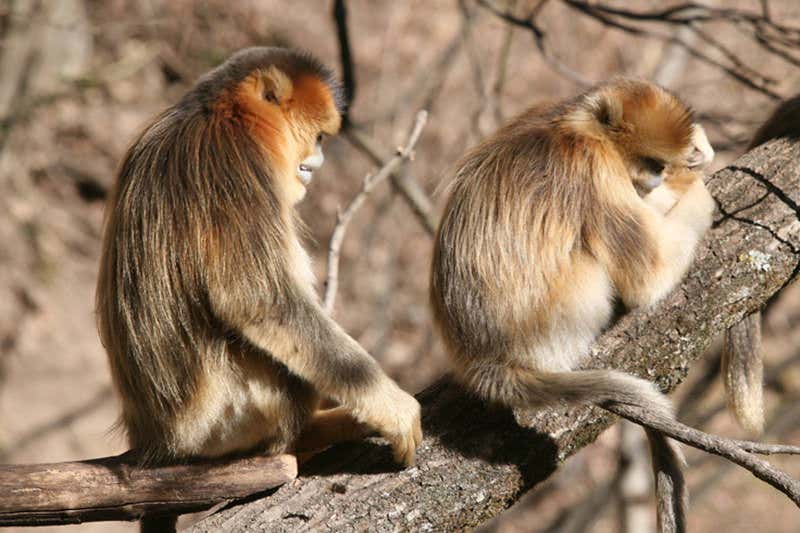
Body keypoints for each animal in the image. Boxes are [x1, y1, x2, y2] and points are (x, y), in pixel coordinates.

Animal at [96, 47, 422, 531]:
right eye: (319, 137)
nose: (315, 165)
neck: (216, 113)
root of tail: (159, 444)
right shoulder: (235, 159)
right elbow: (259, 303)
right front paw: (393, 408)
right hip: (226, 419)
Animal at [430, 79, 715, 532]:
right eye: (653, 163)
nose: (656, 179)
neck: (574, 124)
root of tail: (486, 361)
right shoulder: (596, 169)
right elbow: (650, 278)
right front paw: (698, 182)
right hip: (564, 311)